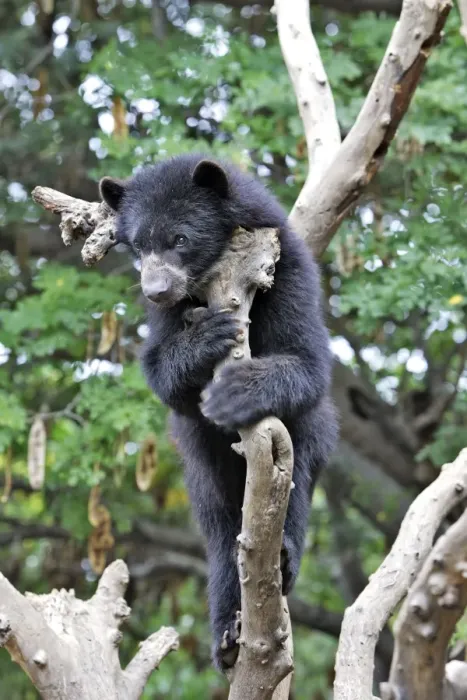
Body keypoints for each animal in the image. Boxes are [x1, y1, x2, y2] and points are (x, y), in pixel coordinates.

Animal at [99, 153, 338, 669]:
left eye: (180, 239)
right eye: (139, 245)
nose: (156, 290)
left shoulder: (288, 274)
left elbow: (306, 359)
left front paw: (234, 393)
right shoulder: (167, 319)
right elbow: (161, 372)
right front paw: (207, 335)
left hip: (307, 442)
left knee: (297, 481)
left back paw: (283, 556)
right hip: (202, 468)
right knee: (222, 530)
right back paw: (229, 635)